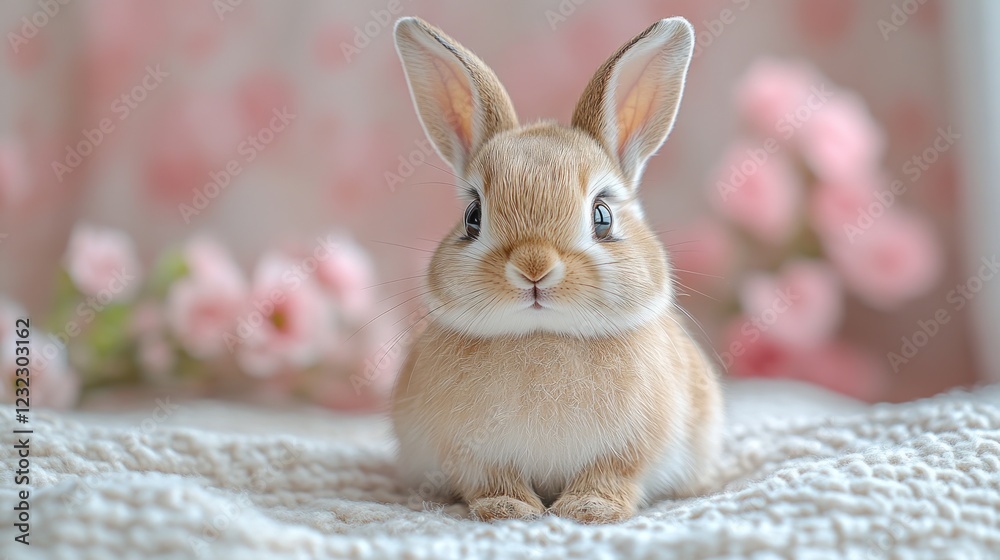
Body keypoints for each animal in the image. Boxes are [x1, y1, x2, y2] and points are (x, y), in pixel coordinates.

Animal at [390, 15, 722, 524]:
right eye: (472, 216)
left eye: (602, 216)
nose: (534, 267)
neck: (543, 335)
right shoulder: (471, 452)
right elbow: (489, 478)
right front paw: (508, 509)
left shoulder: (629, 449)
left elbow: (612, 474)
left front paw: (589, 510)